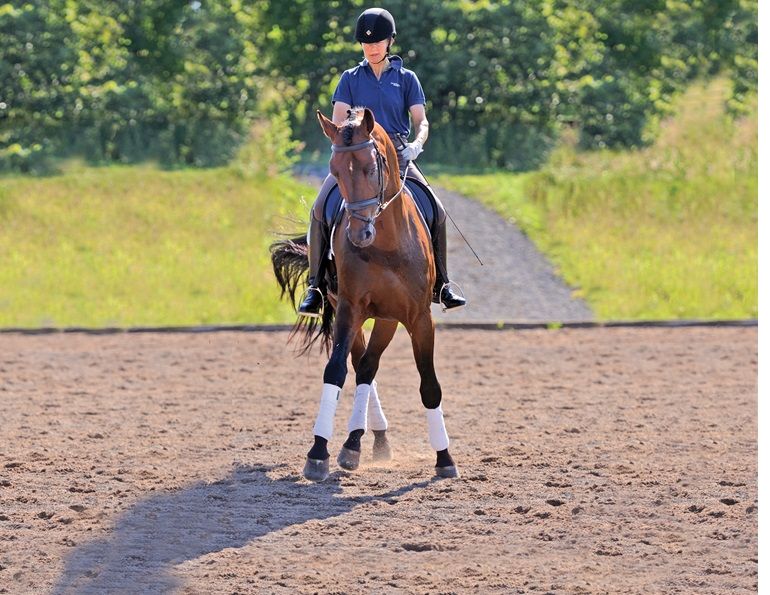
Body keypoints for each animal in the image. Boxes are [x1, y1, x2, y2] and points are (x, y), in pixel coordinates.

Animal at [270, 107, 458, 482]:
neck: (386, 244)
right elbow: (335, 372)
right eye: (335, 171)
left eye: (373, 167)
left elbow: (429, 384)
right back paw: (358, 442)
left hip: (387, 318)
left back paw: (364, 442)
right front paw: (318, 453)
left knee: (368, 366)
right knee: (361, 366)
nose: (359, 234)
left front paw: (444, 458)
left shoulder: (418, 317)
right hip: (353, 312)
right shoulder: (349, 308)